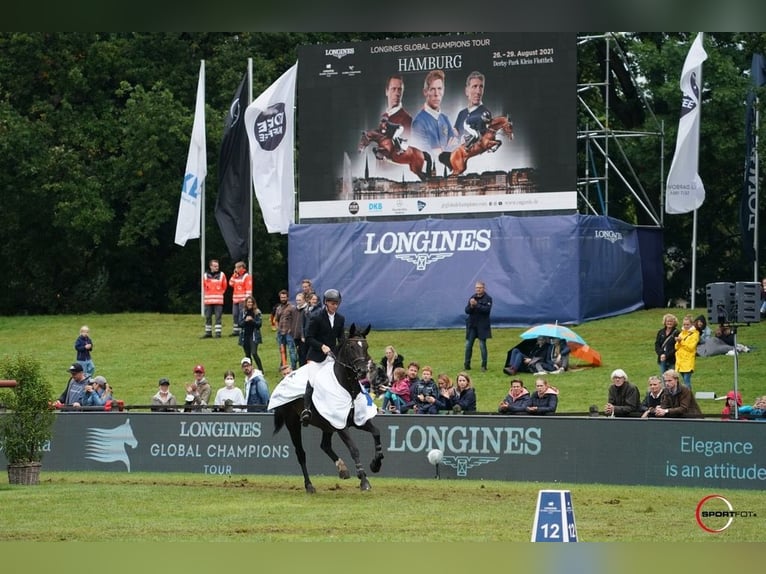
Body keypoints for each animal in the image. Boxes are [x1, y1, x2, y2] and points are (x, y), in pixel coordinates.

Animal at [272, 324, 388, 496]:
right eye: (351, 347)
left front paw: (376, 464)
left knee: (324, 445)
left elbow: (377, 433)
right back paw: (309, 486)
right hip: (293, 423)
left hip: (327, 425)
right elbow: (354, 449)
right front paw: (364, 480)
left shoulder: (356, 421)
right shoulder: (341, 426)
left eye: (366, 346)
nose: (362, 371)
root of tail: (285, 378)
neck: (349, 390)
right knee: (301, 453)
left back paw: (342, 469)